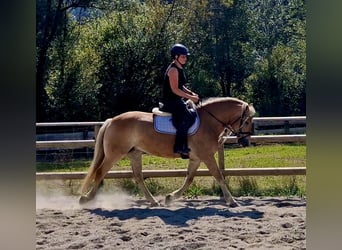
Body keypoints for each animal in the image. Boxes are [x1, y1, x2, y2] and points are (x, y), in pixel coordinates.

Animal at [79, 96, 255, 206]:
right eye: (246, 121)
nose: (245, 142)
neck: (208, 122)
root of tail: (111, 121)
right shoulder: (207, 156)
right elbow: (219, 176)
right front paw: (231, 201)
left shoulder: (196, 158)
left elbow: (189, 178)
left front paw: (170, 197)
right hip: (114, 154)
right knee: (100, 172)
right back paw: (86, 199)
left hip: (135, 154)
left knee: (138, 177)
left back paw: (153, 201)